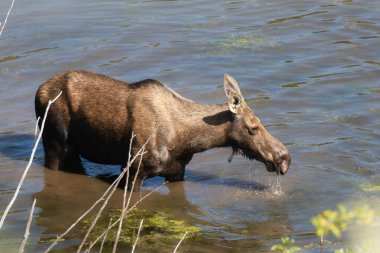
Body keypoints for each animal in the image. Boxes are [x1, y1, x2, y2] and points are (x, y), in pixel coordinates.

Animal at [35, 70, 290, 191]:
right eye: (253, 127)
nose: (284, 157)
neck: (186, 141)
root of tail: (39, 90)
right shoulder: (132, 171)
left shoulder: (177, 173)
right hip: (53, 141)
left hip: (74, 150)